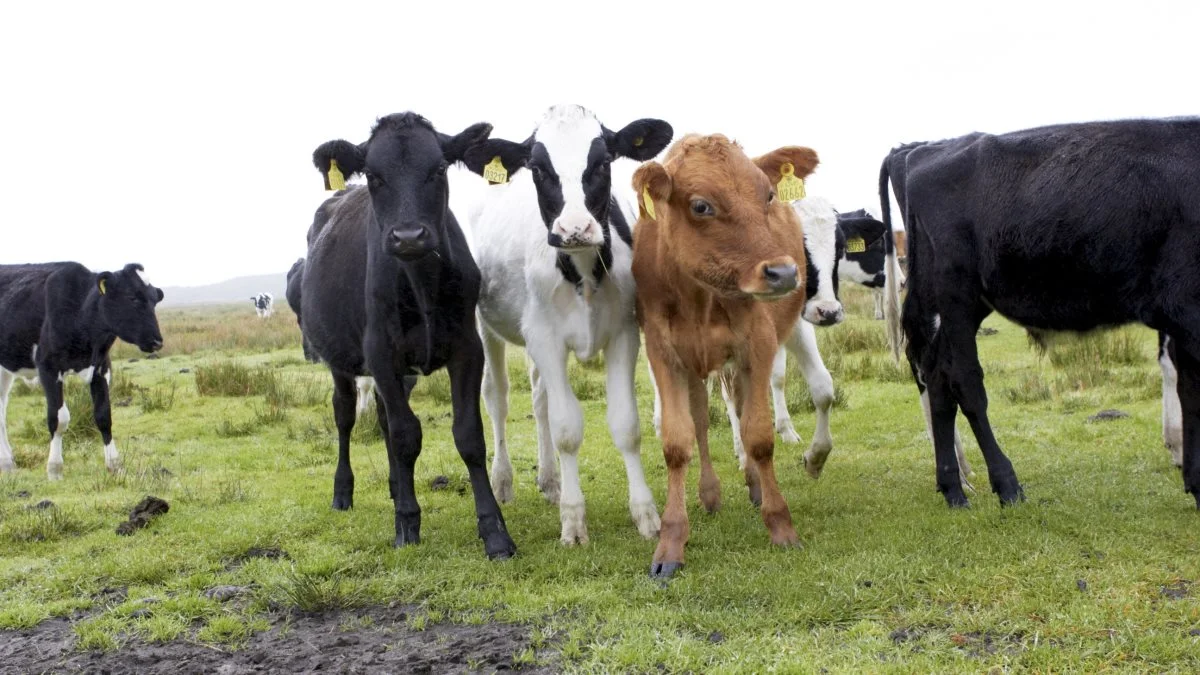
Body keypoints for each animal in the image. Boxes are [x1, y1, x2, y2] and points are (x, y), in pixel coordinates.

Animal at [0, 261, 164, 478]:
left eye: (154, 301)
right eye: (133, 298)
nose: (157, 341)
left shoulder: (101, 368)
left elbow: (104, 415)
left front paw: (115, 465)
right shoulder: (48, 368)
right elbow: (59, 419)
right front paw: (54, 469)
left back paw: (7, 463)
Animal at [300, 111, 516, 557]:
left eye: (438, 170)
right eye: (374, 175)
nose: (408, 236)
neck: (419, 282)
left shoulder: (467, 348)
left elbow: (468, 436)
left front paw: (494, 532)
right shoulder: (380, 353)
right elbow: (405, 435)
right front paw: (407, 525)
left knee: (382, 419)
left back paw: (395, 486)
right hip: (338, 360)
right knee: (346, 415)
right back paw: (344, 491)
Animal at [633, 132, 820, 578]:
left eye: (768, 195)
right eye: (701, 205)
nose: (784, 273)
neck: (699, 297)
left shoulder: (758, 344)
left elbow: (759, 436)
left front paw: (780, 524)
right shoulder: (664, 354)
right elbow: (678, 441)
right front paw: (671, 542)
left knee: (738, 408)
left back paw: (753, 485)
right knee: (702, 421)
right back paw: (710, 493)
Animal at [878, 119, 1200, 509]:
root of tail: (919, 150)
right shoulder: (1187, 308)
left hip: (955, 304)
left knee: (936, 375)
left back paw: (954, 488)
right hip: (954, 293)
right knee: (963, 381)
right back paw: (1005, 484)